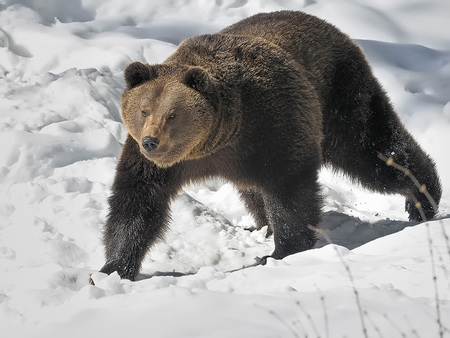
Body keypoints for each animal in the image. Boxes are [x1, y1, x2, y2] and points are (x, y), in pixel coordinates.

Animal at [96, 10, 442, 282]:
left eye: (172, 114)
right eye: (144, 110)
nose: (151, 141)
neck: (214, 141)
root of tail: (330, 26)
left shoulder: (270, 124)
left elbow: (289, 187)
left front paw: (282, 251)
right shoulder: (157, 163)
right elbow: (136, 200)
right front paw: (112, 268)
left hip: (339, 96)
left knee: (372, 150)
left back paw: (422, 200)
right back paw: (261, 227)